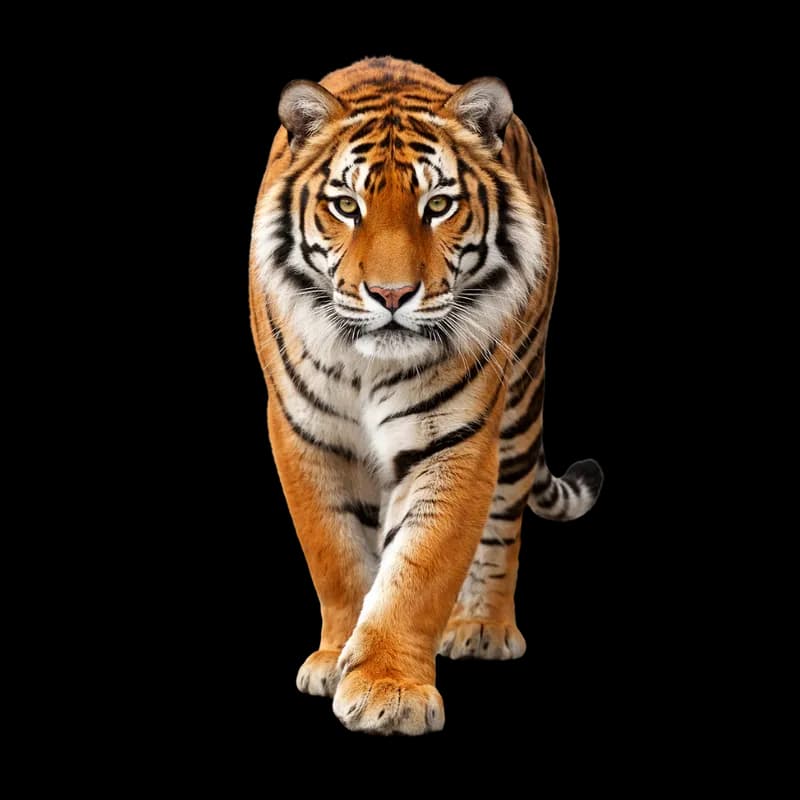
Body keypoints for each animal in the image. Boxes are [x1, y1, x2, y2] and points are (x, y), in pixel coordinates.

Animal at [249, 56, 602, 735]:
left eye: (438, 204)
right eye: (346, 205)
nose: (391, 295)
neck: (366, 366)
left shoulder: (458, 439)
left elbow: (421, 566)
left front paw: (390, 689)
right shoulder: (303, 432)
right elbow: (336, 553)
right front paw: (337, 657)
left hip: (520, 407)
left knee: (502, 526)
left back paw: (483, 627)